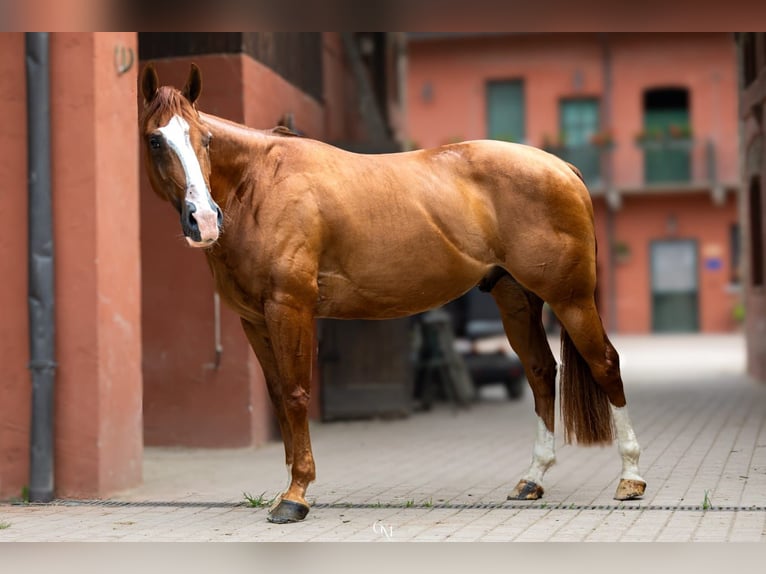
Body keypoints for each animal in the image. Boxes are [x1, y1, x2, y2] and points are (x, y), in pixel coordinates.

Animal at [139, 63, 646, 524]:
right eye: (155, 140)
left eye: (204, 139)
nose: (204, 219)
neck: (261, 186)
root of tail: (563, 168)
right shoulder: (254, 320)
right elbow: (279, 395)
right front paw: (289, 486)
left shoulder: (290, 308)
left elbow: (298, 393)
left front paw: (296, 496)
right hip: (517, 300)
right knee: (541, 373)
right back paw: (532, 480)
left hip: (571, 299)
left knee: (605, 364)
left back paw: (630, 478)